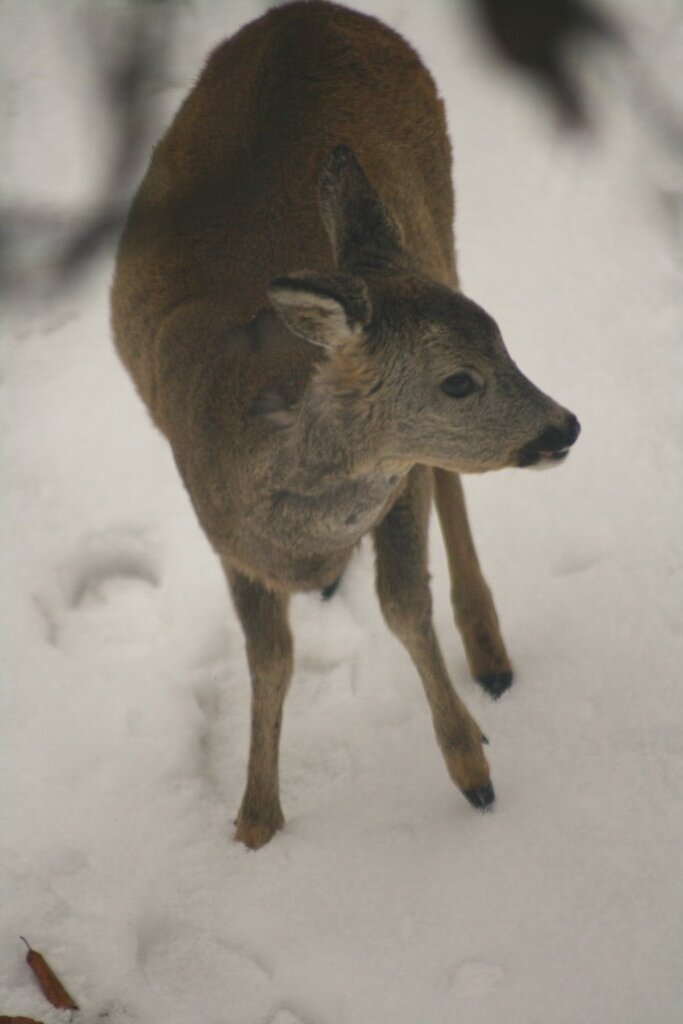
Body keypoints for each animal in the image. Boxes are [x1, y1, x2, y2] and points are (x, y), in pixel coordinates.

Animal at [109, 0, 581, 847]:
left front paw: (472, 771)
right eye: (457, 381)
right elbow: (269, 658)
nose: (563, 426)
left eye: (503, 341)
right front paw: (254, 821)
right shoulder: (226, 540)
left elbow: (402, 603)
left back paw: (488, 654)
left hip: (441, 223)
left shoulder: (394, 493)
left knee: (449, 488)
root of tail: (311, 11)